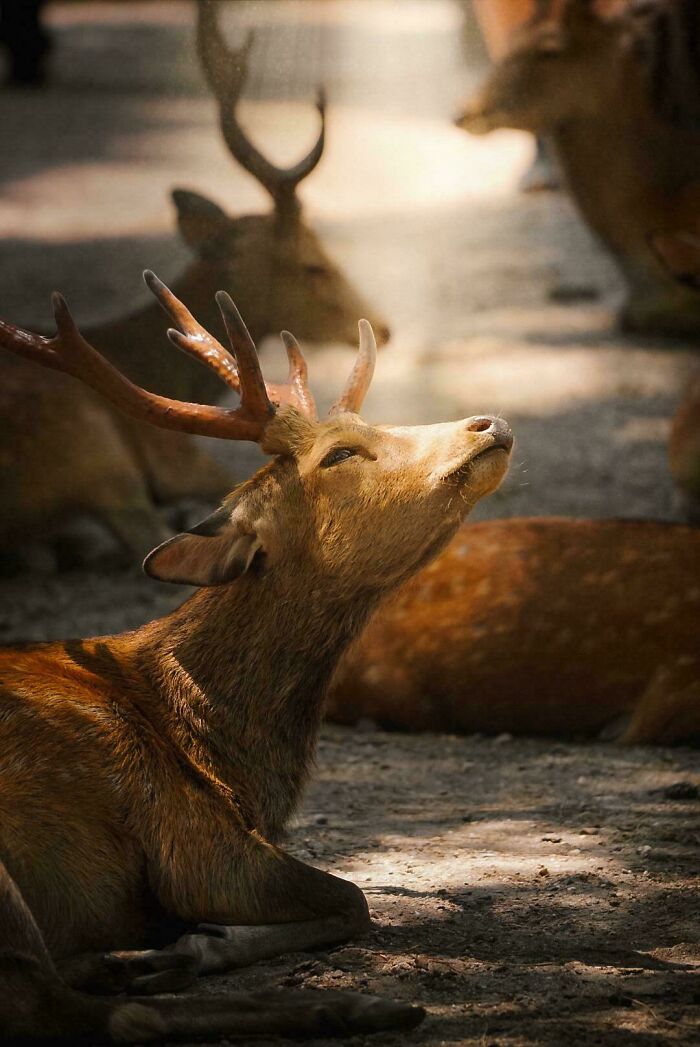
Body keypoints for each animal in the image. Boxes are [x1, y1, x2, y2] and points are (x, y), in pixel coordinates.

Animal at [0, 276, 512, 1041]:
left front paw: (186, 945)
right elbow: (354, 898)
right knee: (85, 1011)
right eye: (339, 454)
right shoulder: (190, 841)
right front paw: (203, 940)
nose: (490, 422)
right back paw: (359, 1004)